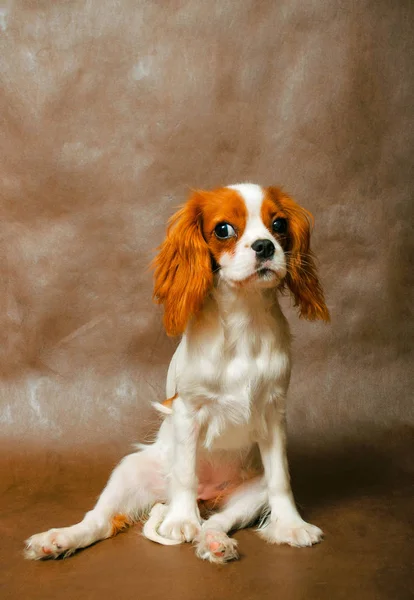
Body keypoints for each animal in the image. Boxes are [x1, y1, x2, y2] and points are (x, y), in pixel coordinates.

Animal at [25, 183, 330, 564]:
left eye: (278, 224)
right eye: (223, 229)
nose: (264, 246)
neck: (243, 320)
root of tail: (205, 495)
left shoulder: (274, 413)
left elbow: (281, 481)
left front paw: (290, 525)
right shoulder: (188, 411)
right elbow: (185, 472)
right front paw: (182, 521)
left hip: (250, 492)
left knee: (217, 519)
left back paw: (215, 542)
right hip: (129, 470)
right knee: (99, 521)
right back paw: (59, 539)